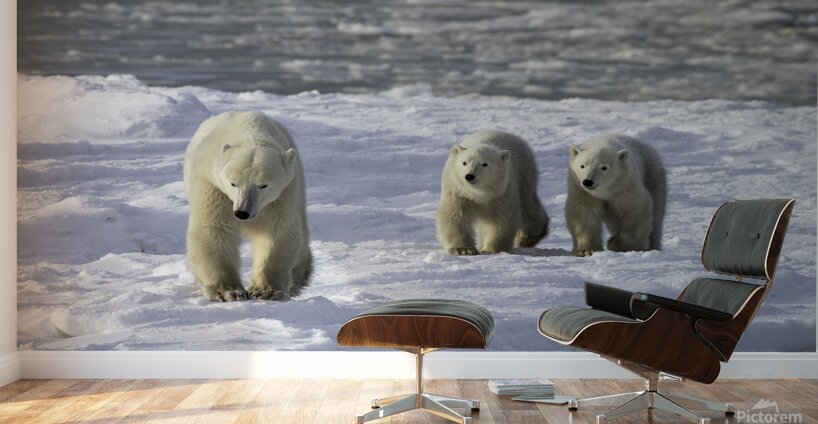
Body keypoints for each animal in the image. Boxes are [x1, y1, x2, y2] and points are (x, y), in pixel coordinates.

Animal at [183, 111, 312, 302]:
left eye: (263, 185)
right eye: (233, 183)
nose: (242, 212)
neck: (249, 132)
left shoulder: (282, 194)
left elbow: (276, 231)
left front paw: (265, 291)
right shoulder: (213, 185)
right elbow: (215, 229)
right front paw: (230, 291)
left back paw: (299, 278)